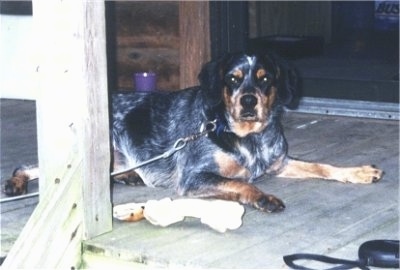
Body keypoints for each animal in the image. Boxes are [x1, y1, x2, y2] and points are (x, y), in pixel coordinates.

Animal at [3, 51, 384, 212]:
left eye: (264, 79)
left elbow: (323, 165)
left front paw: (360, 172)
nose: (248, 101)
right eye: (233, 79)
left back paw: (129, 177)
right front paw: (263, 198)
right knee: (30, 166)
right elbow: (242, 184)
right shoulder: (194, 177)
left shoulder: (279, 162)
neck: (248, 137)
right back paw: (16, 182)